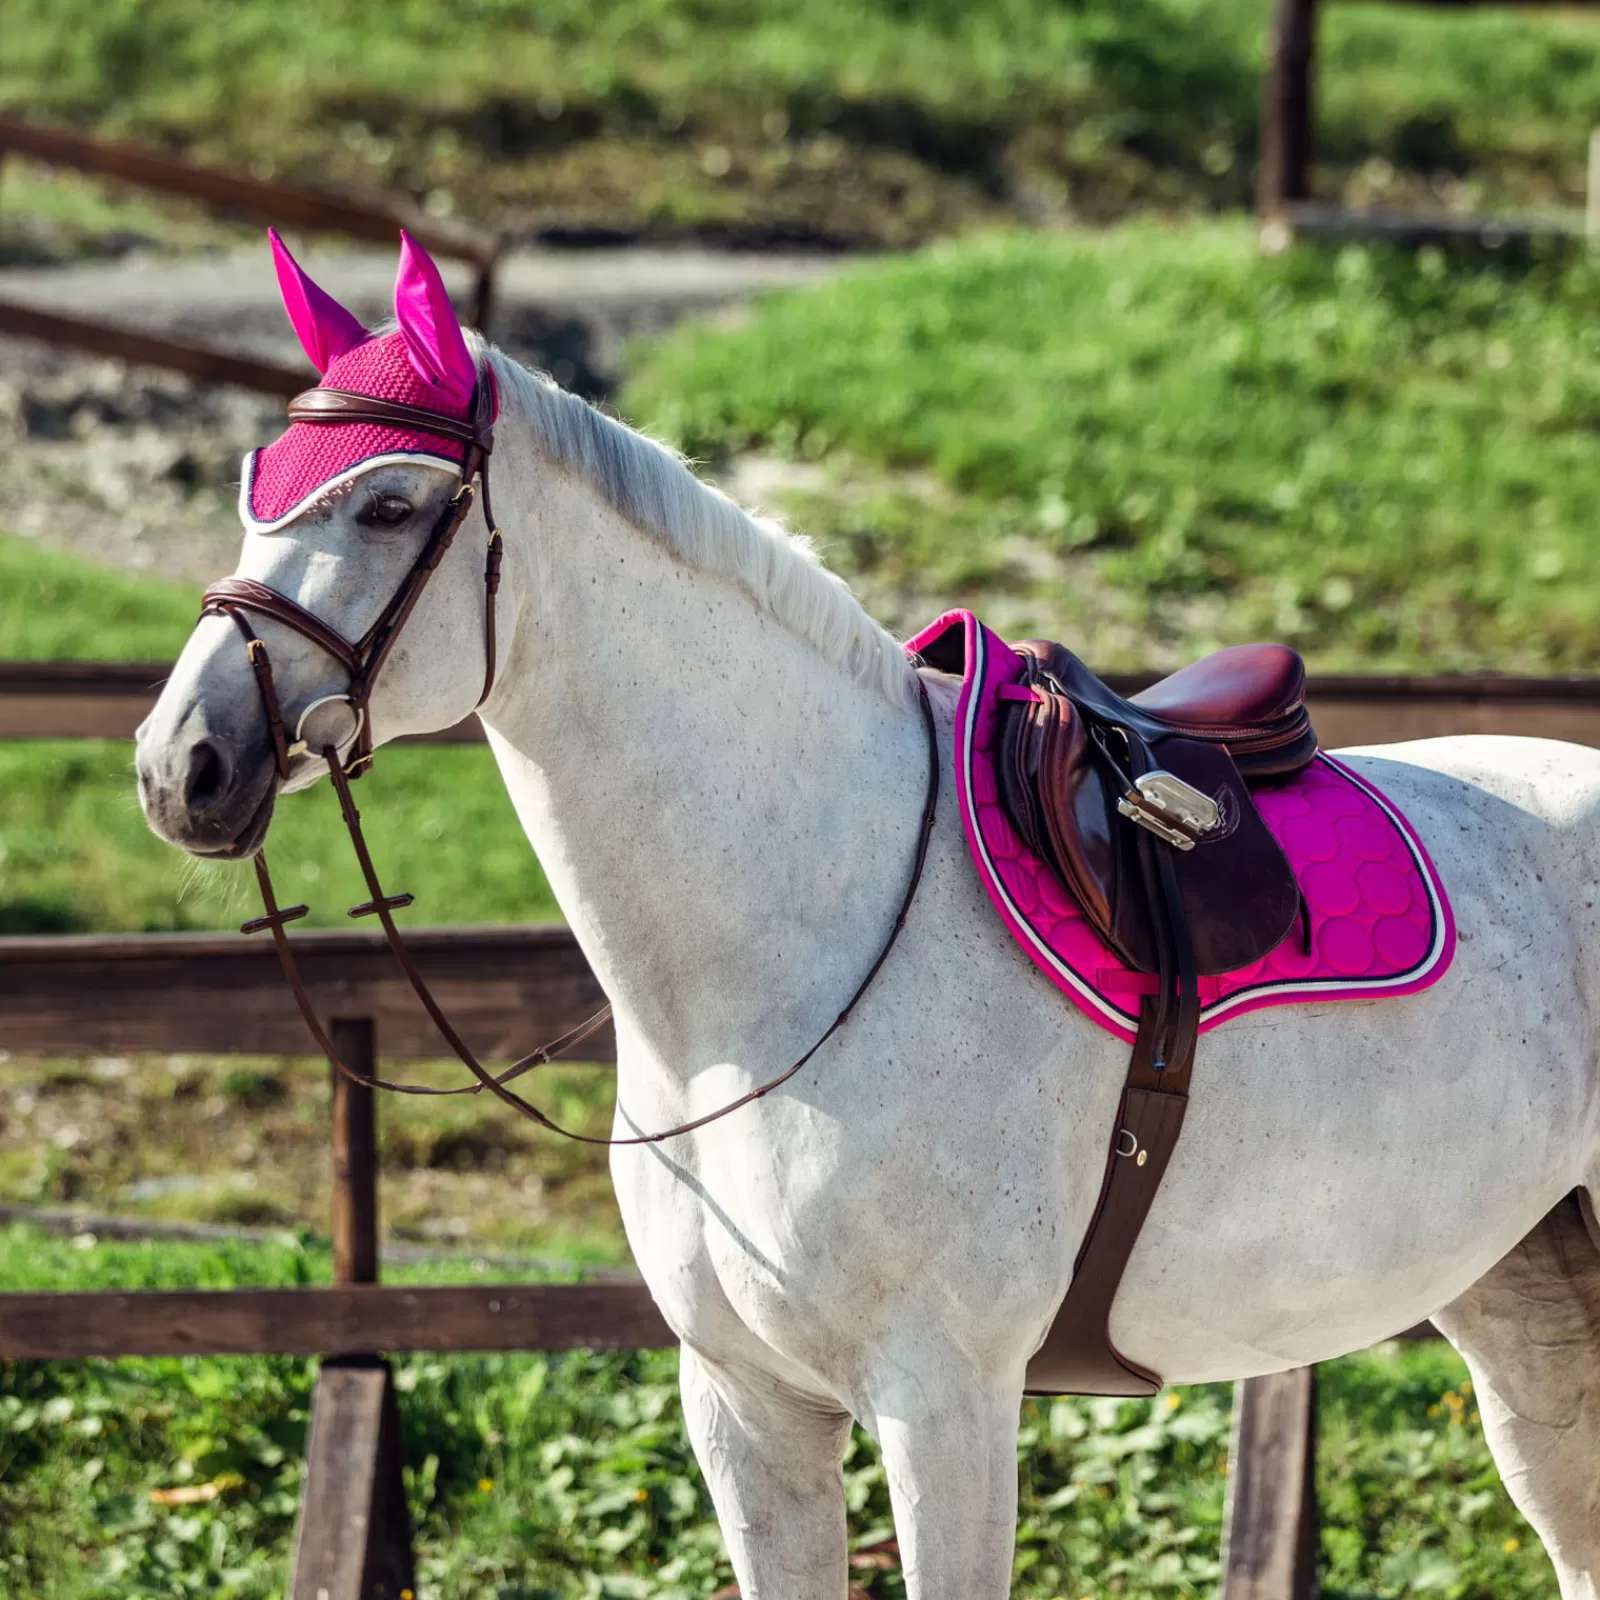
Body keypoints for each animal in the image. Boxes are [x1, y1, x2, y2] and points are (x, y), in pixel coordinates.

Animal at [134, 252, 1600, 1600]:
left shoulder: (942, 1404)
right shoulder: (745, 1406)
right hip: (1524, 1304)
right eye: (259, 490)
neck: (784, 964)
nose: (181, 765)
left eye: (388, 503)